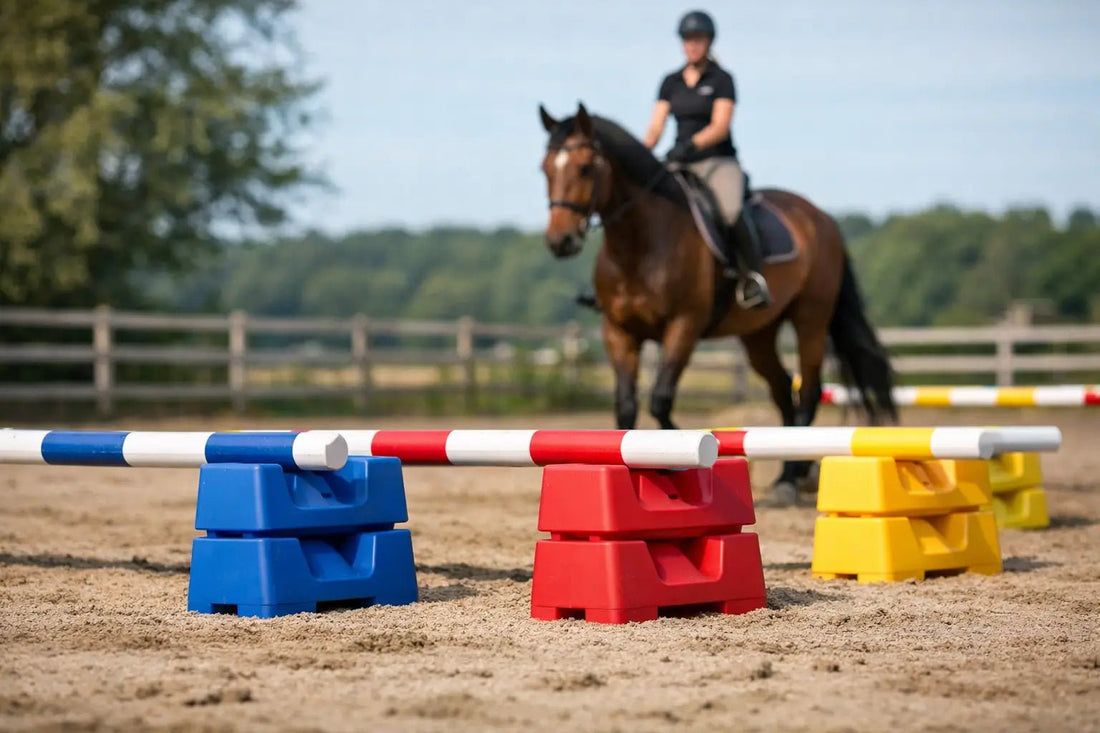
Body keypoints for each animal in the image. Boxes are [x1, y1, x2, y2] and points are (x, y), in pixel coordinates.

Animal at [538, 103, 896, 504]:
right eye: (545, 168)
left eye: (585, 167)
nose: (560, 241)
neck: (639, 243)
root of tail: (819, 216)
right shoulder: (618, 331)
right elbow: (626, 408)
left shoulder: (683, 326)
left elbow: (660, 399)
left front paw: (681, 456)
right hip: (759, 334)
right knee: (782, 389)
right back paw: (791, 473)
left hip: (811, 319)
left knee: (809, 390)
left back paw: (792, 479)